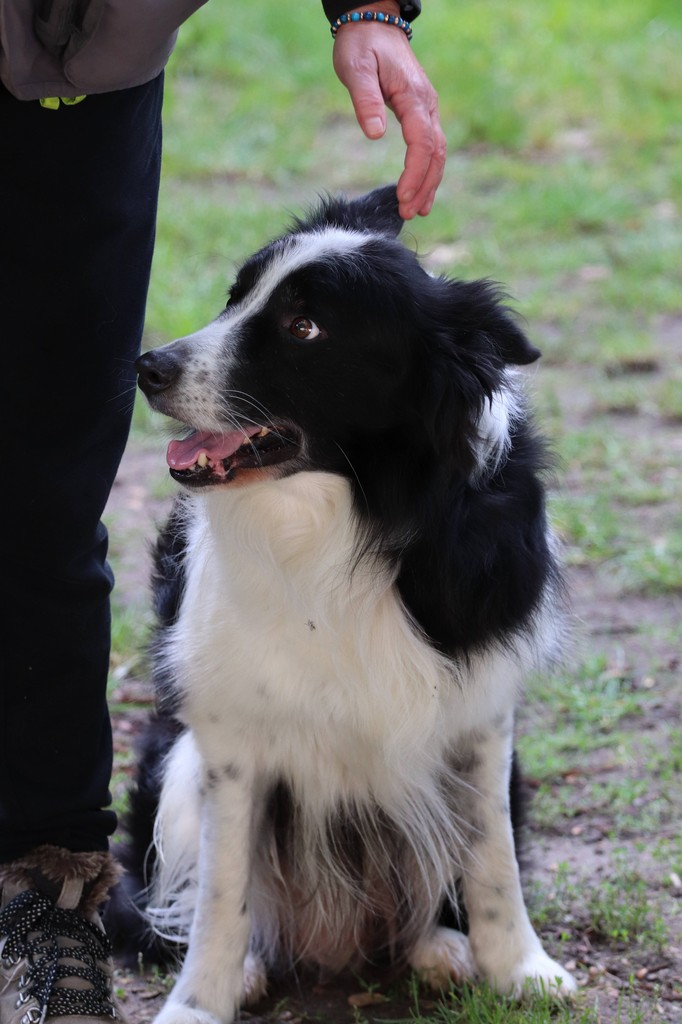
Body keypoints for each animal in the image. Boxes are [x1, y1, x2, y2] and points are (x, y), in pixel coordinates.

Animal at [121, 184, 576, 1024]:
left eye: (305, 328)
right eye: (236, 297)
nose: (147, 366)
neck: (352, 513)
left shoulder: (482, 714)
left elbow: (492, 859)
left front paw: (521, 968)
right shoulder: (229, 734)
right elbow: (223, 893)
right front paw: (199, 1003)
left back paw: (440, 945)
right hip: (174, 764)